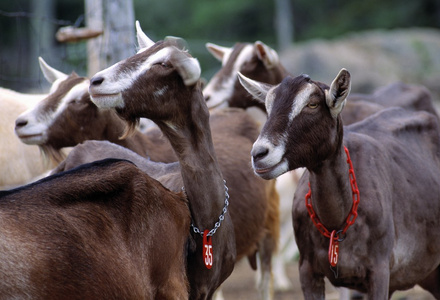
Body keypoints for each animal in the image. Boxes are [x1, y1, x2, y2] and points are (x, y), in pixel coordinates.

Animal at [239, 69, 440, 298]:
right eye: (268, 106)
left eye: (312, 104)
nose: (259, 154)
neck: (337, 223)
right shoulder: (307, 269)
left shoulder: (380, 270)